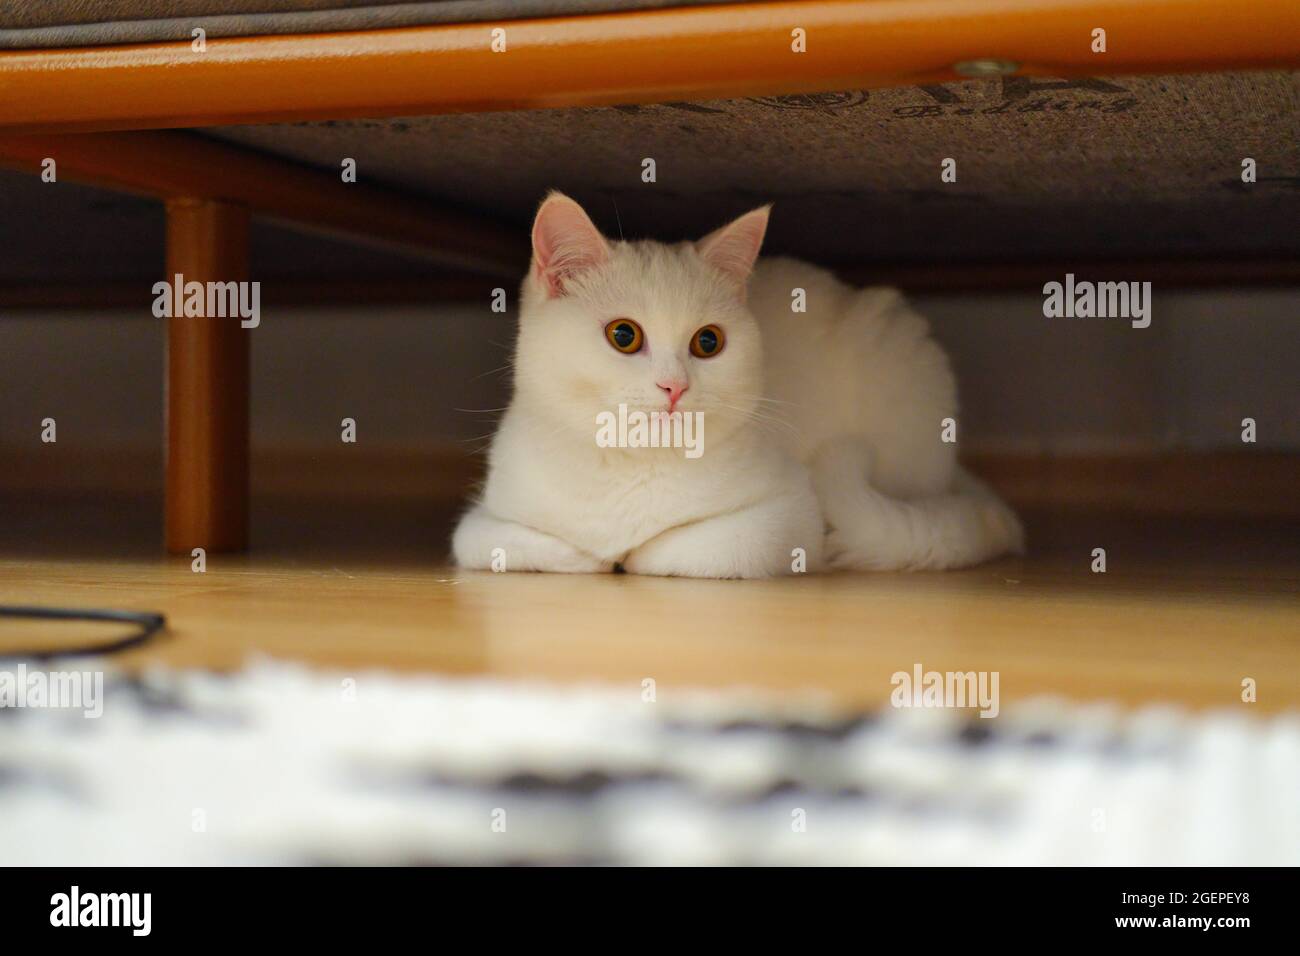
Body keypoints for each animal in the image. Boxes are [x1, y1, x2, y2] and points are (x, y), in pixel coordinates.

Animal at [452, 188, 1019, 574]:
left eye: (708, 342)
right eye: (623, 335)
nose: (675, 386)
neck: (631, 470)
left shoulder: (784, 517)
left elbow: (670, 550)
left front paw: (628, 554)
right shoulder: (484, 522)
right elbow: (524, 545)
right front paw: (593, 555)